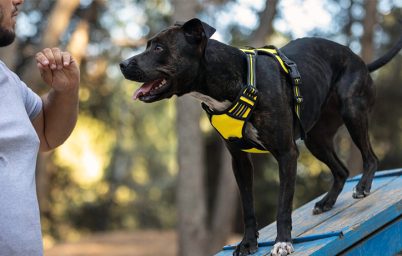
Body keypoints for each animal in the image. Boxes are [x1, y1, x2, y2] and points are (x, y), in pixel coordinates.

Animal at [119, 18, 402, 256]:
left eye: (158, 48)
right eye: (148, 45)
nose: (122, 64)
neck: (233, 80)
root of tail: (359, 60)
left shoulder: (286, 154)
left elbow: (283, 206)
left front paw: (282, 242)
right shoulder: (240, 161)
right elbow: (247, 207)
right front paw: (248, 243)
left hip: (352, 111)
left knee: (371, 157)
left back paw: (363, 186)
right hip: (316, 139)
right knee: (341, 170)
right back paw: (326, 202)